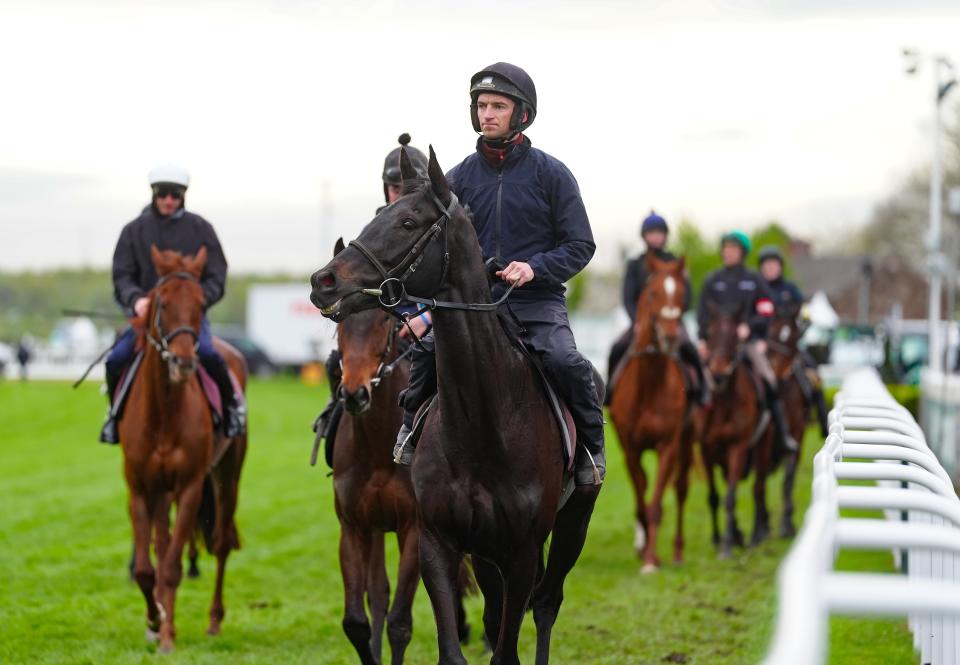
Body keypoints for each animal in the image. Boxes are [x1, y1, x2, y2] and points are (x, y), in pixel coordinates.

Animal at [120, 246, 246, 652]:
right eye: (161, 303)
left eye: (202, 303)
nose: (184, 361)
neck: (163, 414)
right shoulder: (141, 488)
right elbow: (148, 568)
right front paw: (155, 620)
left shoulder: (190, 486)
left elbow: (174, 566)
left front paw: (168, 636)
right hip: (163, 492)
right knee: (162, 545)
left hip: (227, 475)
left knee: (220, 543)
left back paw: (214, 620)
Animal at [314, 147, 600, 664]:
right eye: (377, 216)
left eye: (408, 222)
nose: (323, 280)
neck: (483, 424)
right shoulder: (432, 538)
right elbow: (424, 638)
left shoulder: (519, 549)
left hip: (572, 525)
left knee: (547, 604)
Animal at [616, 252, 696, 572]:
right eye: (652, 293)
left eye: (682, 294)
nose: (670, 336)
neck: (649, 386)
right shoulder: (629, 448)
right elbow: (641, 496)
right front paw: (645, 552)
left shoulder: (668, 446)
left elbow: (656, 505)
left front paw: (651, 560)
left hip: (686, 443)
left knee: (681, 489)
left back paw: (676, 552)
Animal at [700, 304, 776, 556]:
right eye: (709, 334)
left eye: (735, 337)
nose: (718, 374)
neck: (724, 403)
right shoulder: (706, 448)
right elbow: (714, 496)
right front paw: (719, 538)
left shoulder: (738, 447)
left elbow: (731, 497)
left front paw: (727, 545)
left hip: (762, 446)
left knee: (758, 488)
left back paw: (755, 535)